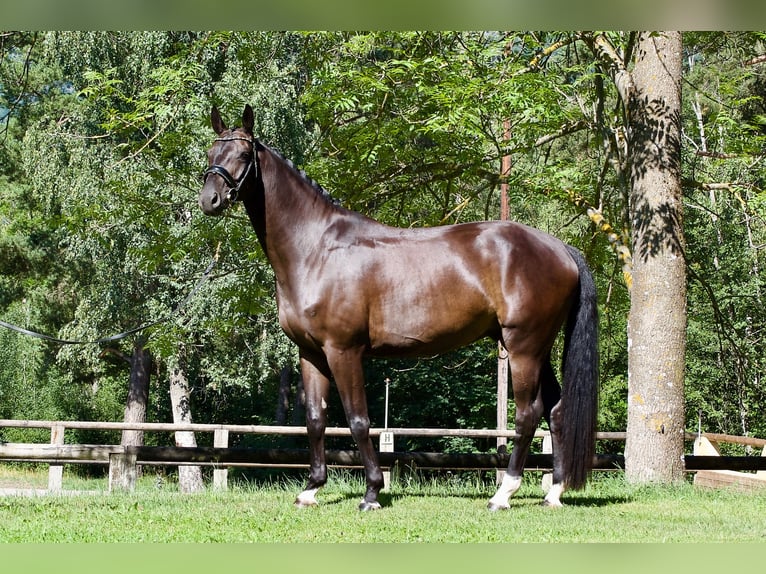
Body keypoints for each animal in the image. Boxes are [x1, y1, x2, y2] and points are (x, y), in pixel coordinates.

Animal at [199, 104, 599, 511]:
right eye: (211, 152)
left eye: (243, 155)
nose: (209, 199)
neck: (316, 248)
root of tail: (560, 248)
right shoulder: (310, 353)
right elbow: (315, 419)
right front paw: (311, 489)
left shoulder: (344, 351)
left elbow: (359, 420)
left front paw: (372, 493)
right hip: (537, 348)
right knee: (556, 410)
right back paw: (554, 493)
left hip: (523, 348)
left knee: (527, 414)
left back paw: (503, 494)